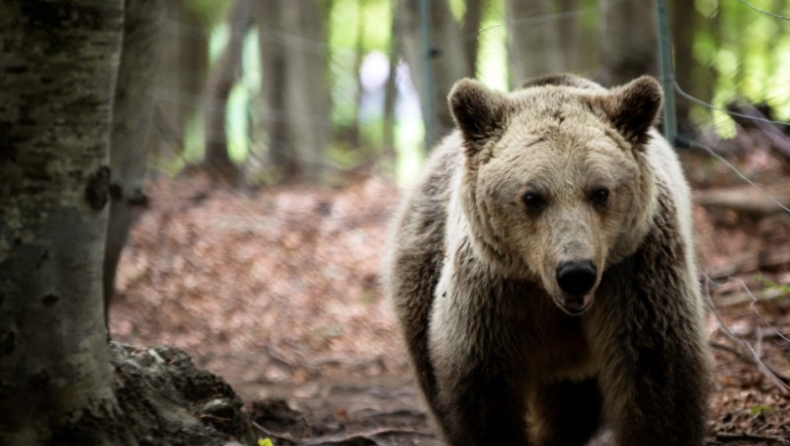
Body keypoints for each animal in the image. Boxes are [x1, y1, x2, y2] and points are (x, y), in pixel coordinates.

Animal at [382, 74, 712, 446]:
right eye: (531, 196)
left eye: (600, 191)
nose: (576, 272)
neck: (547, 295)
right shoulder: (493, 291)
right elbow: (481, 391)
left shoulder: (635, 272)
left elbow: (657, 379)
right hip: (423, 264)